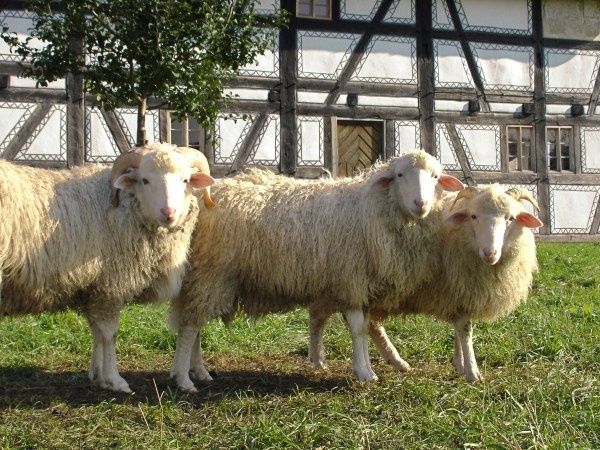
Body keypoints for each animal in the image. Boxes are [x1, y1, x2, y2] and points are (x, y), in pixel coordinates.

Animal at [0, 142, 216, 392]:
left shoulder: (94, 288)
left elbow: (97, 332)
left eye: (185, 180)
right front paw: (115, 379)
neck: (118, 208)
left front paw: (98, 376)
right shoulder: (110, 286)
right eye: (145, 180)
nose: (168, 213)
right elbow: (109, 334)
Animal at [169, 150, 464, 390]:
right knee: (190, 326)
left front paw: (357, 366)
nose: (421, 204)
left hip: (200, 278)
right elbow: (358, 329)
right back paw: (185, 379)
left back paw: (198, 371)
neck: (371, 206)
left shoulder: (357, 285)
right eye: (400, 175)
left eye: (436, 176)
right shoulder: (351, 278)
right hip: (211, 274)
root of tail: (203, 195)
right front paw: (364, 372)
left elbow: (355, 326)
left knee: (193, 324)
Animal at [310, 185, 544, 382]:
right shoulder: (459, 286)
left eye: (510, 218)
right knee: (351, 323)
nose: (490, 253)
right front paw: (472, 371)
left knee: (338, 320)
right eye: (473, 216)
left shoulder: (460, 293)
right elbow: (465, 330)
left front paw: (460, 364)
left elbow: (460, 330)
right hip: (352, 281)